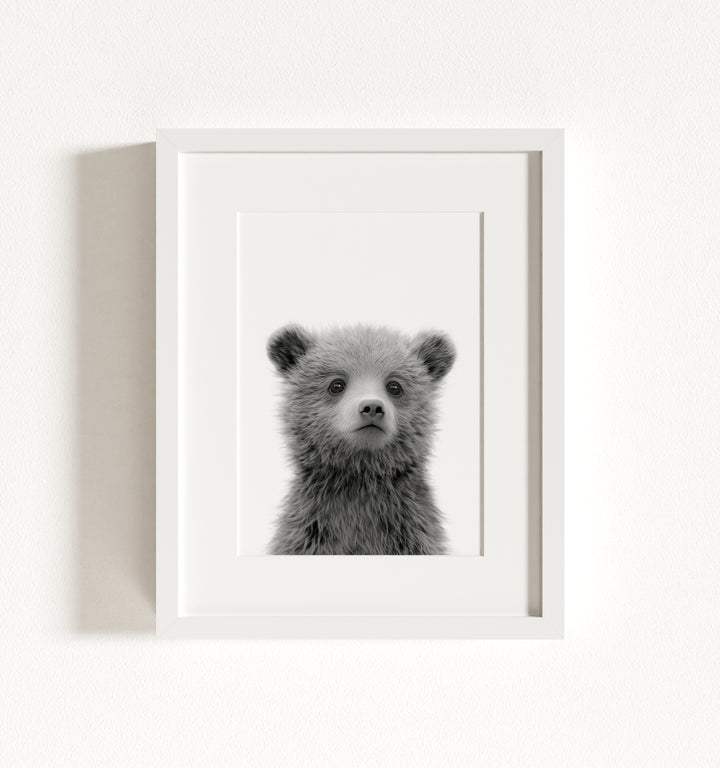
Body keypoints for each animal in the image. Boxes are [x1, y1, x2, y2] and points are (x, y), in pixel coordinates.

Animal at [266, 324, 456, 555]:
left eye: (394, 386)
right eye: (336, 384)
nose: (372, 407)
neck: (360, 477)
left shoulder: (411, 532)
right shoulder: (310, 532)